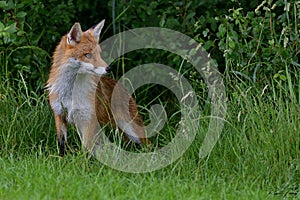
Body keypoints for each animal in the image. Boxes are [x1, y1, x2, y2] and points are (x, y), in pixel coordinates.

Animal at [47, 19, 150, 155]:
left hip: (131, 129)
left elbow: (85, 148)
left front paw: (83, 160)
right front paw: (62, 158)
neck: (70, 93)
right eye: (88, 55)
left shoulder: (87, 118)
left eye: (99, 54)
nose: (109, 68)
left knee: (148, 144)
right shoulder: (59, 114)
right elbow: (62, 143)